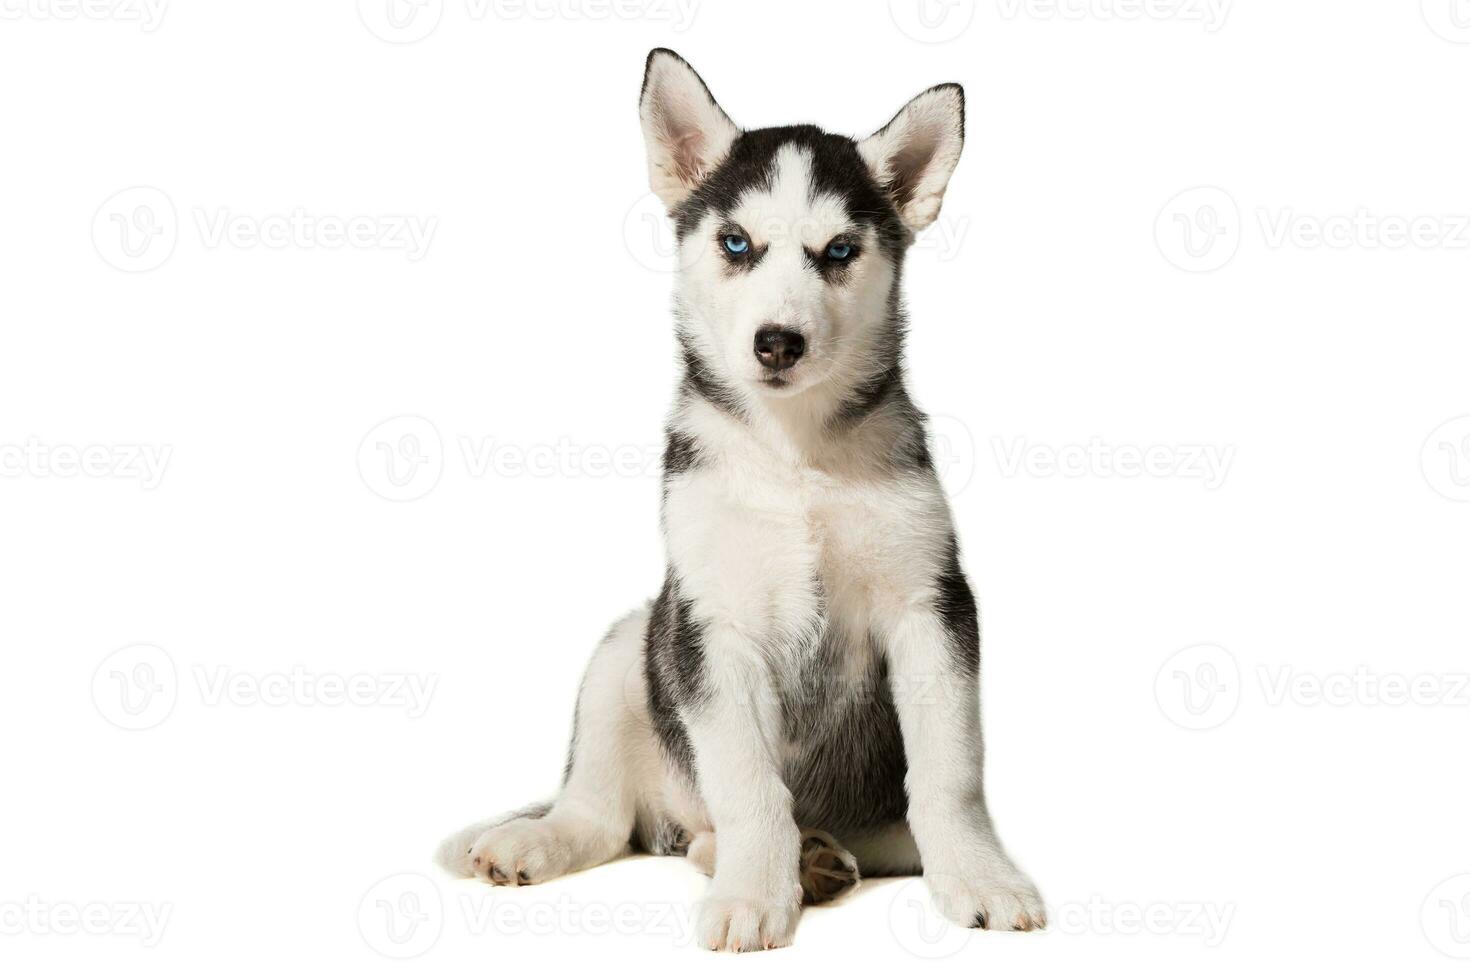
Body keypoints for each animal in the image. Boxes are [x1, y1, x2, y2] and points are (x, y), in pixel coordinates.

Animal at [435, 49, 1046, 952]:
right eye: (735, 243)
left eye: (839, 250)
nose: (778, 342)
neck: (795, 457)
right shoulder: (711, 625)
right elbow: (749, 783)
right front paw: (754, 895)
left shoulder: (933, 604)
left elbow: (951, 772)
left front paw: (980, 877)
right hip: (630, 644)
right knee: (607, 816)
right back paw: (547, 841)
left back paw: (818, 858)